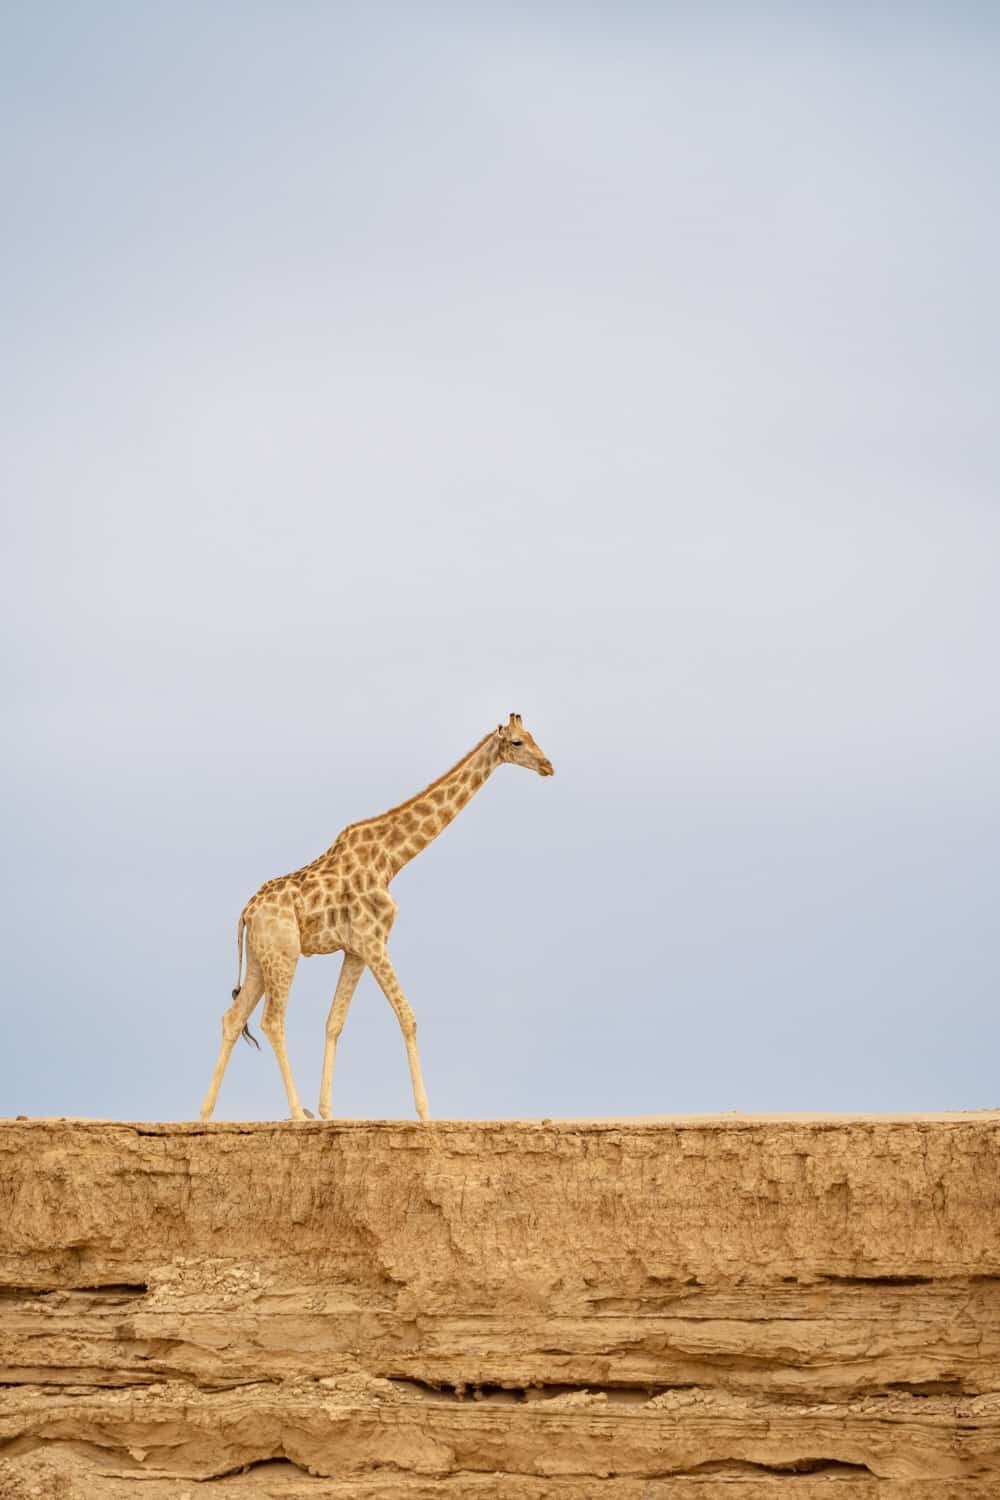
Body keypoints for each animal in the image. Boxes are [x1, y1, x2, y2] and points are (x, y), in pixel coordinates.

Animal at [197, 714, 554, 1128]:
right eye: (516, 743)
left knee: (233, 1018)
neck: (391, 858)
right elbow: (407, 1017)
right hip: (284, 954)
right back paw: (296, 1114)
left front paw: (328, 1111)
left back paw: (204, 1116)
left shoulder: (355, 949)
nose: (548, 766)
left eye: (532, 736)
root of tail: (246, 912)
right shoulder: (374, 940)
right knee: (272, 1020)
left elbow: (334, 1022)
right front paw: (425, 1113)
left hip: (260, 958)